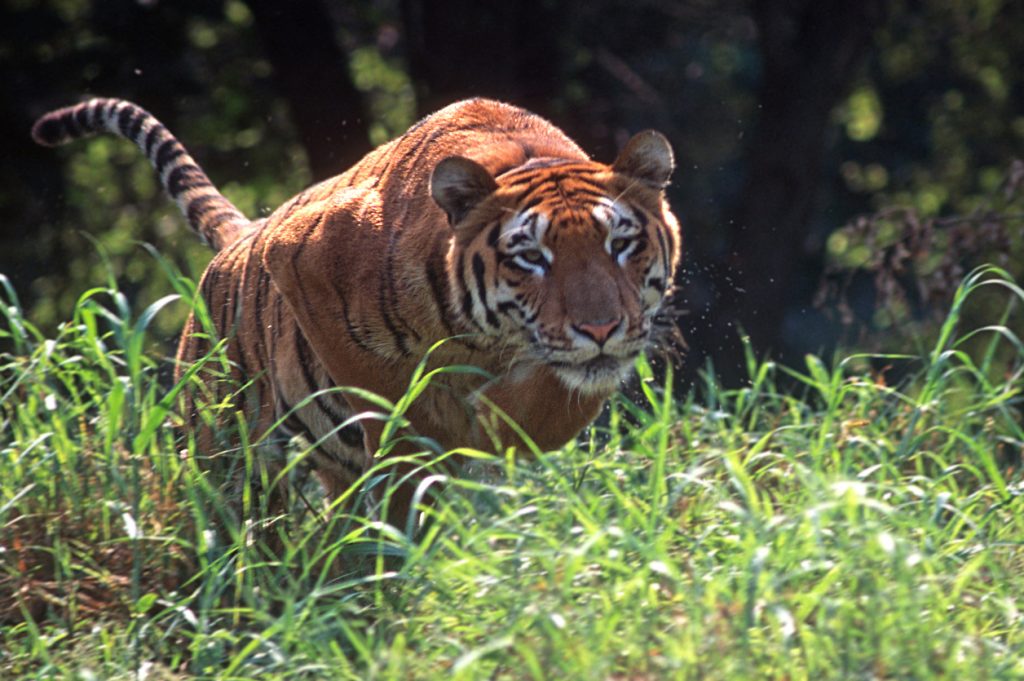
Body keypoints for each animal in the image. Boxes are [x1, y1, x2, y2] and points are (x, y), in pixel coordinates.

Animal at [29, 95, 679, 522]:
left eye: (620, 244)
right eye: (531, 257)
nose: (600, 327)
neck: (489, 342)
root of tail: (246, 234)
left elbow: (547, 406)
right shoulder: (301, 259)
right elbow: (390, 400)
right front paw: (427, 457)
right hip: (223, 443)